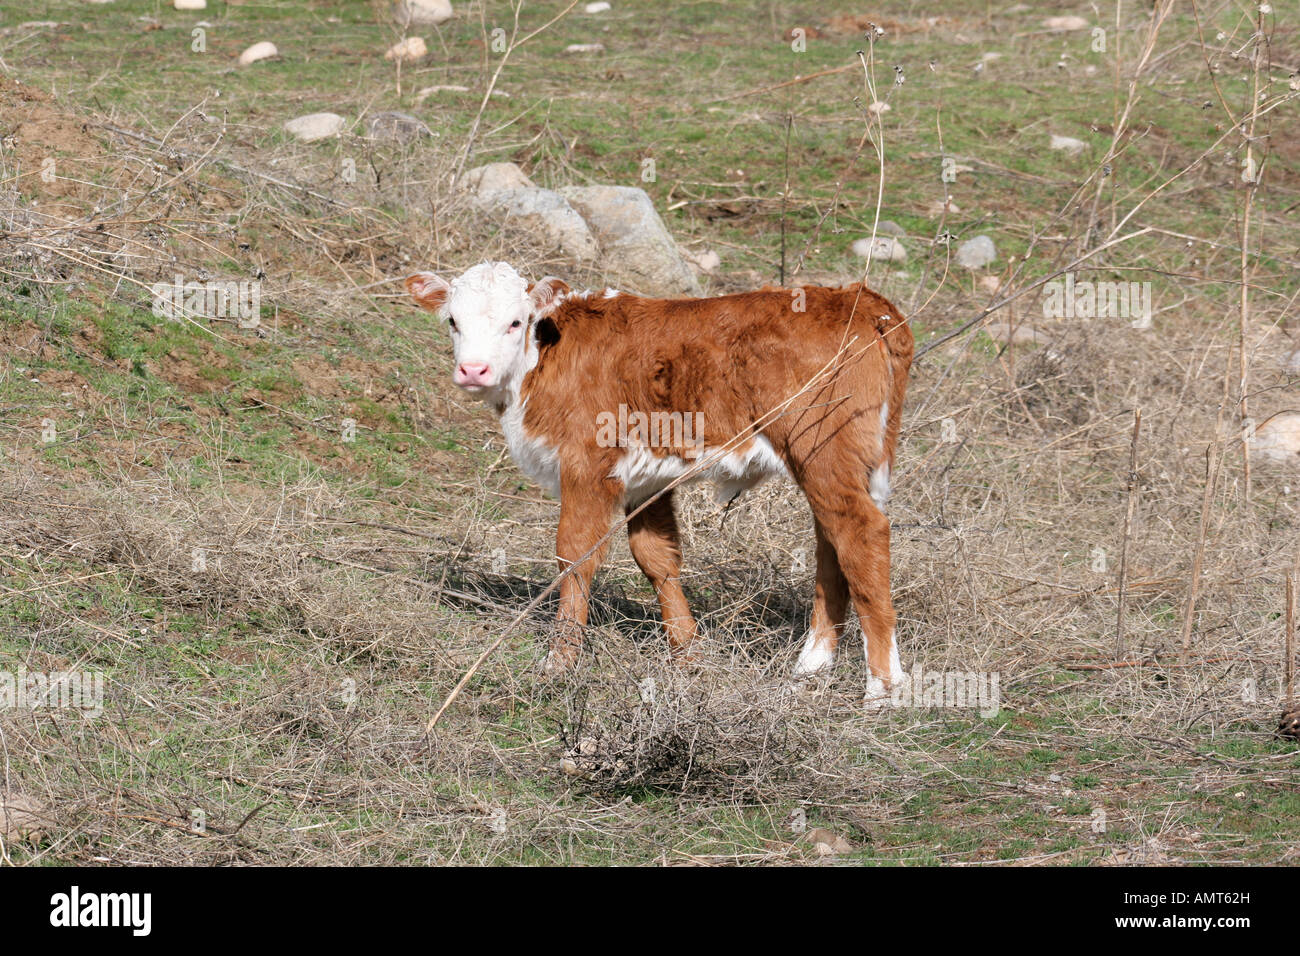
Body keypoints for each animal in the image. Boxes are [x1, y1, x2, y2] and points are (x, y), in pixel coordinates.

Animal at [405, 261, 913, 702]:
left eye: (515, 322)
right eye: (452, 321)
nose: (473, 370)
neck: (540, 359)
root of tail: (860, 300)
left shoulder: (586, 465)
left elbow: (575, 555)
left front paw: (560, 661)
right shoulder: (645, 481)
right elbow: (656, 556)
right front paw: (687, 655)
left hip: (821, 448)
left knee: (860, 531)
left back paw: (882, 687)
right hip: (846, 461)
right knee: (833, 541)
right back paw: (812, 664)